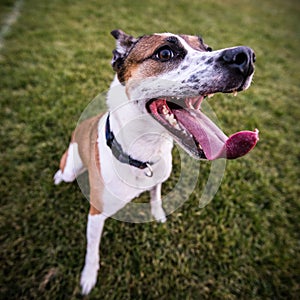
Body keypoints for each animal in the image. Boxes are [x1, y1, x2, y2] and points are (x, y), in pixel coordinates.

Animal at [53, 29, 258, 294]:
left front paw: (158, 213)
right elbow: (92, 250)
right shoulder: (96, 214)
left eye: (207, 48)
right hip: (71, 166)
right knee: (66, 171)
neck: (143, 154)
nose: (246, 56)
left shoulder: (158, 177)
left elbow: (156, 194)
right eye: (165, 53)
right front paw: (88, 276)